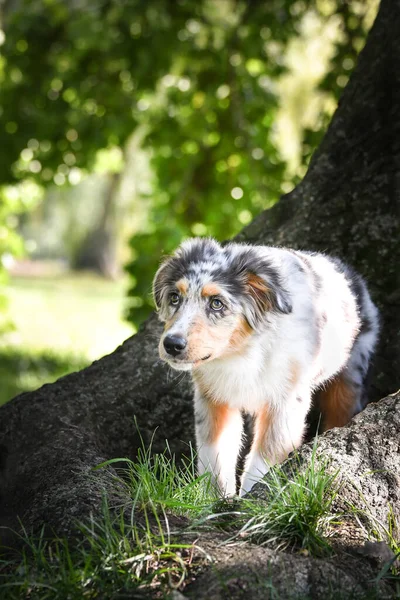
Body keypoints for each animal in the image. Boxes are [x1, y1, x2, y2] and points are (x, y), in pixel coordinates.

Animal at [152, 237, 380, 494]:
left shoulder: (285, 402)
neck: (240, 353)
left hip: (351, 374)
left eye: (217, 303)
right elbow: (214, 457)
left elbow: (264, 456)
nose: (172, 344)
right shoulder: (212, 399)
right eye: (174, 298)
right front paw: (217, 499)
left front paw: (251, 496)